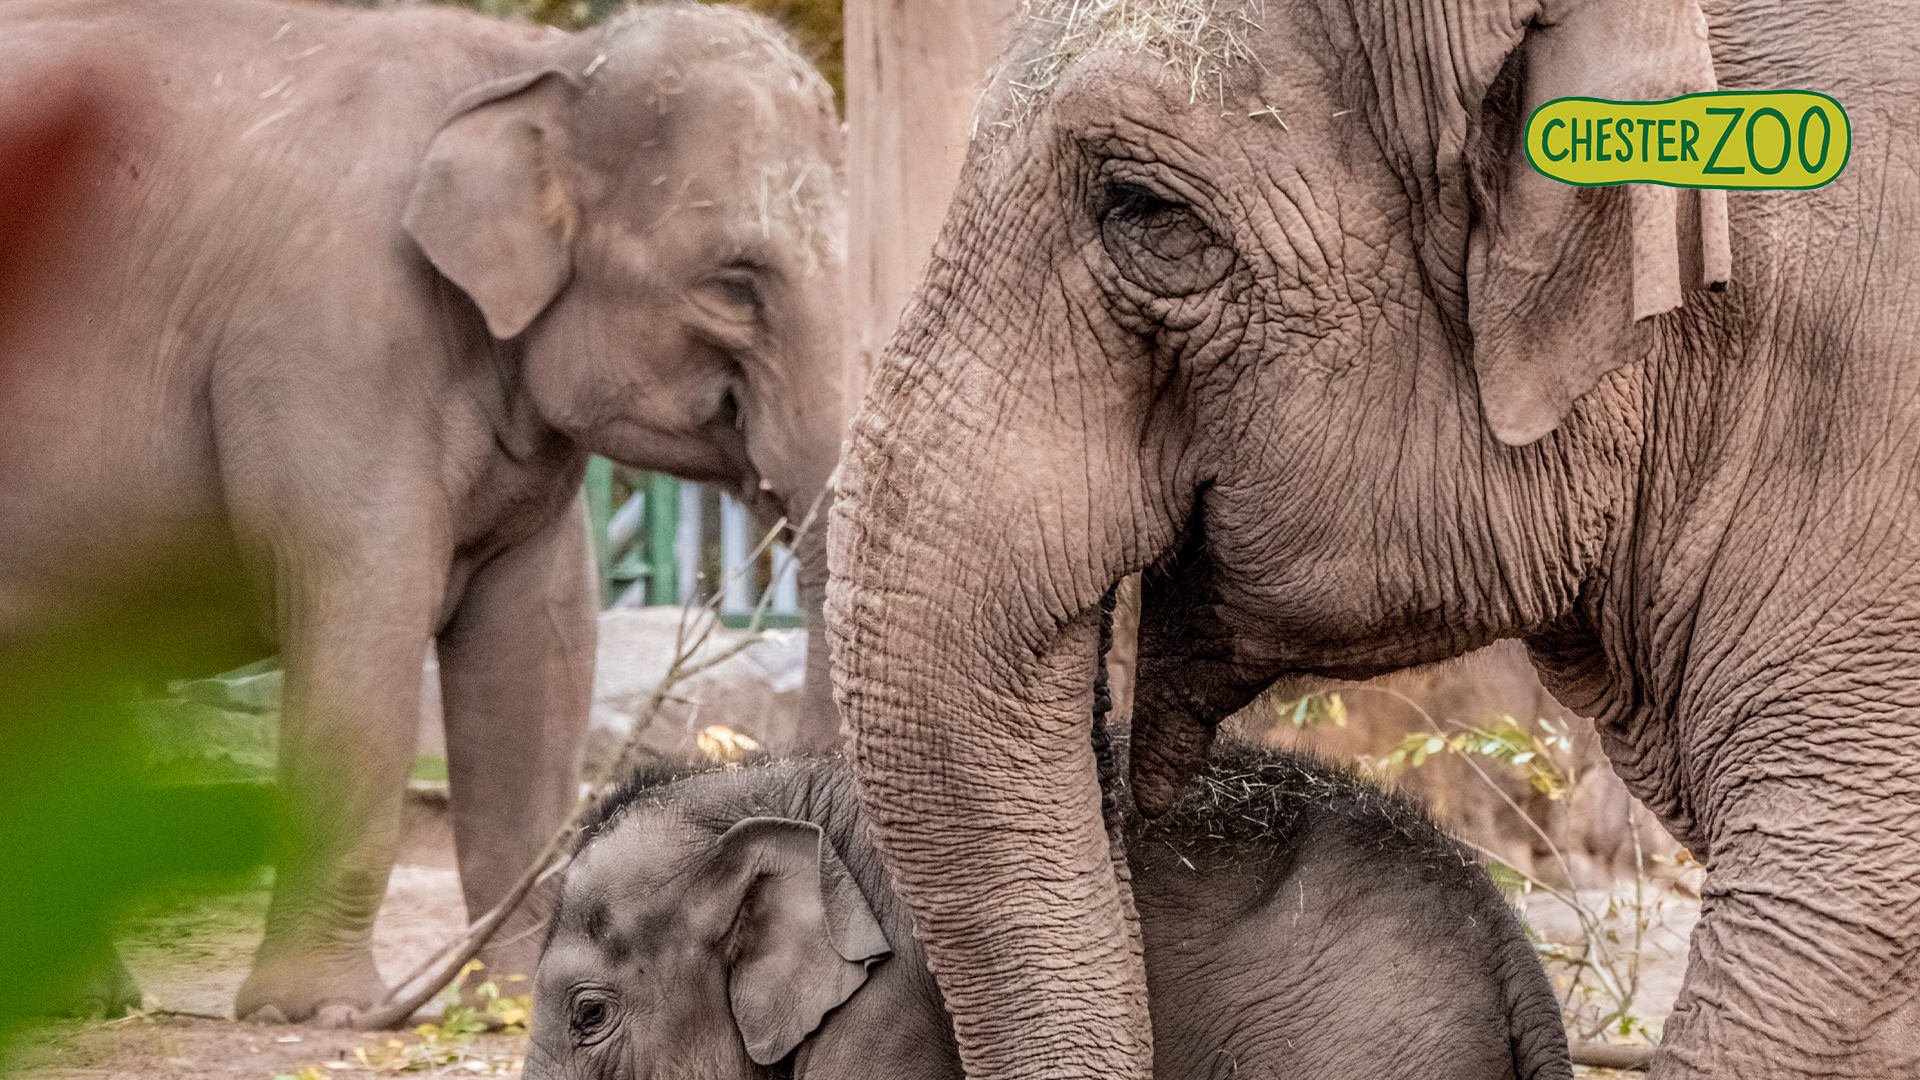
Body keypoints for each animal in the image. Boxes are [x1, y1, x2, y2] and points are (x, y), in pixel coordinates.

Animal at [0, 0, 848, 1022]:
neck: (537, 64)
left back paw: (88, 1002)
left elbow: (539, 651)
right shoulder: (330, 337)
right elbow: (365, 619)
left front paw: (514, 999)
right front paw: (317, 1012)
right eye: (734, 281)